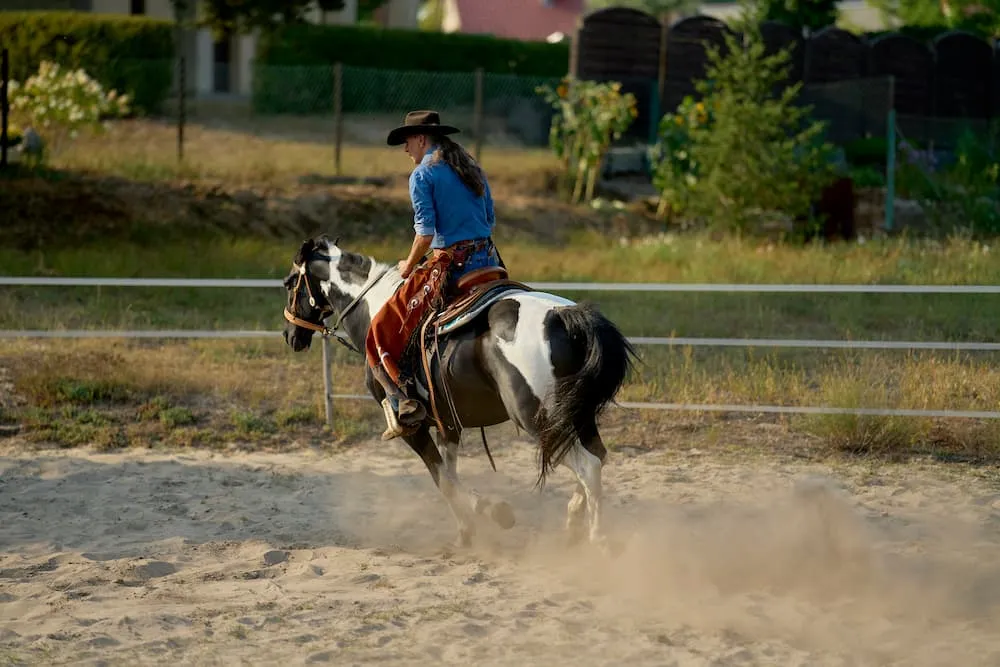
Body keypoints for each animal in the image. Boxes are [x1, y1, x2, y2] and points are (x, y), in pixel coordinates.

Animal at [280, 235, 637, 551]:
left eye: (289, 283)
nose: (289, 335)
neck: (373, 308)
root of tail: (564, 317)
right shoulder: (447, 422)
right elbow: (450, 474)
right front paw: (467, 532)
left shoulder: (412, 426)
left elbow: (442, 478)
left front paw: (492, 512)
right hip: (578, 414)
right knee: (598, 456)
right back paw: (573, 522)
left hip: (538, 418)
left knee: (588, 465)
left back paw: (597, 539)